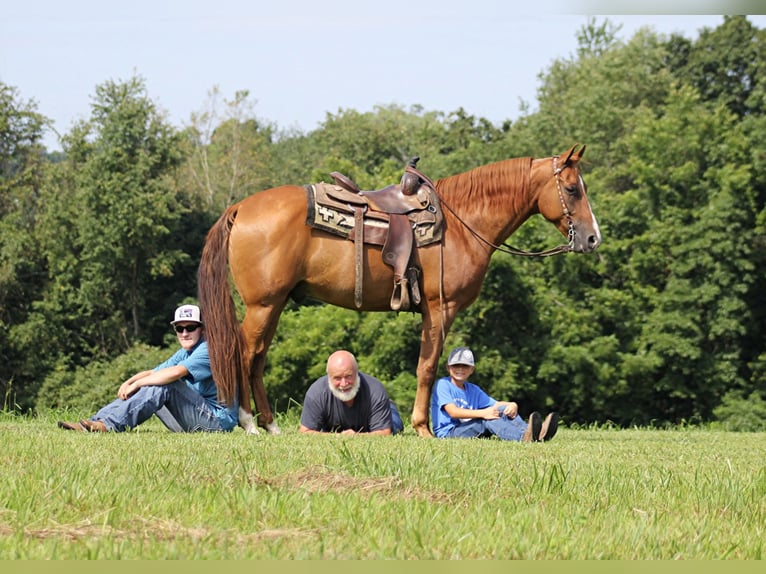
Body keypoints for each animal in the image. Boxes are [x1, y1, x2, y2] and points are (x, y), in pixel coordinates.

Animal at [200, 146, 608, 438]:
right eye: (572, 189)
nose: (592, 238)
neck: (462, 222)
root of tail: (241, 207)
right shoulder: (440, 308)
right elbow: (427, 366)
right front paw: (423, 428)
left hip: (274, 304)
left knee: (257, 358)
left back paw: (269, 424)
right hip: (263, 305)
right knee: (245, 354)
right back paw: (249, 423)